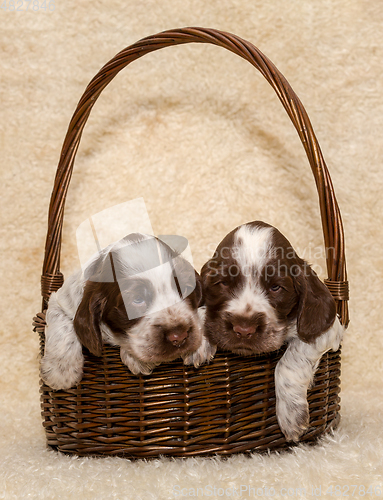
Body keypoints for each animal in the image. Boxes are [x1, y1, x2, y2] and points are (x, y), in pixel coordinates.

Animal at [40, 232, 206, 392]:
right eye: (137, 299)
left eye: (186, 289)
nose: (179, 336)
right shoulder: (61, 300)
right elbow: (62, 322)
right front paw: (60, 371)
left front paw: (201, 345)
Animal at [201, 222, 344, 442]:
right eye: (223, 283)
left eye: (276, 287)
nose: (244, 329)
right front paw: (199, 343)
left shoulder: (329, 331)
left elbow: (288, 363)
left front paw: (292, 415)